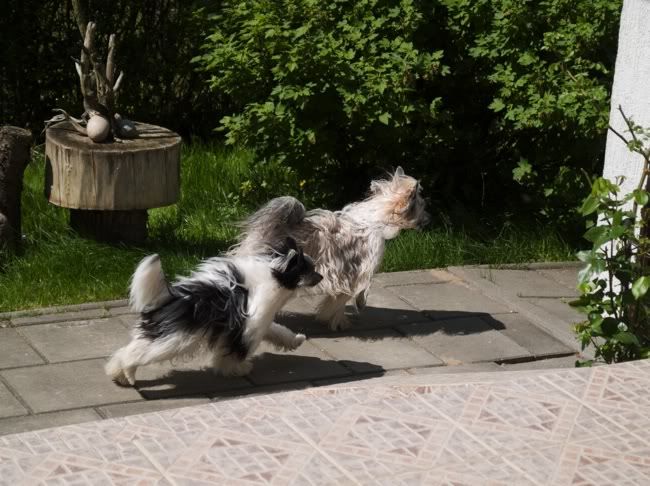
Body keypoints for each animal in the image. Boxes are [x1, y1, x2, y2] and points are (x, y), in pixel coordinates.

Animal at [105, 238, 322, 386]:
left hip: (161, 334)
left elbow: (278, 330)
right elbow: (237, 350)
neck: (274, 275)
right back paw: (128, 373)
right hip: (174, 339)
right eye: (309, 270)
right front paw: (236, 369)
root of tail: (172, 298)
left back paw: (117, 373)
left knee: (130, 348)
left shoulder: (257, 322)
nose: (320, 276)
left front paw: (295, 340)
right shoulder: (249, 325)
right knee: (135, 354)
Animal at [231, 167, 429, 330]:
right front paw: (340, 320)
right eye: (422, 205)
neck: (375, 219)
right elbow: (345, 297)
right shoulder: (356, 271)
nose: (429, 218)